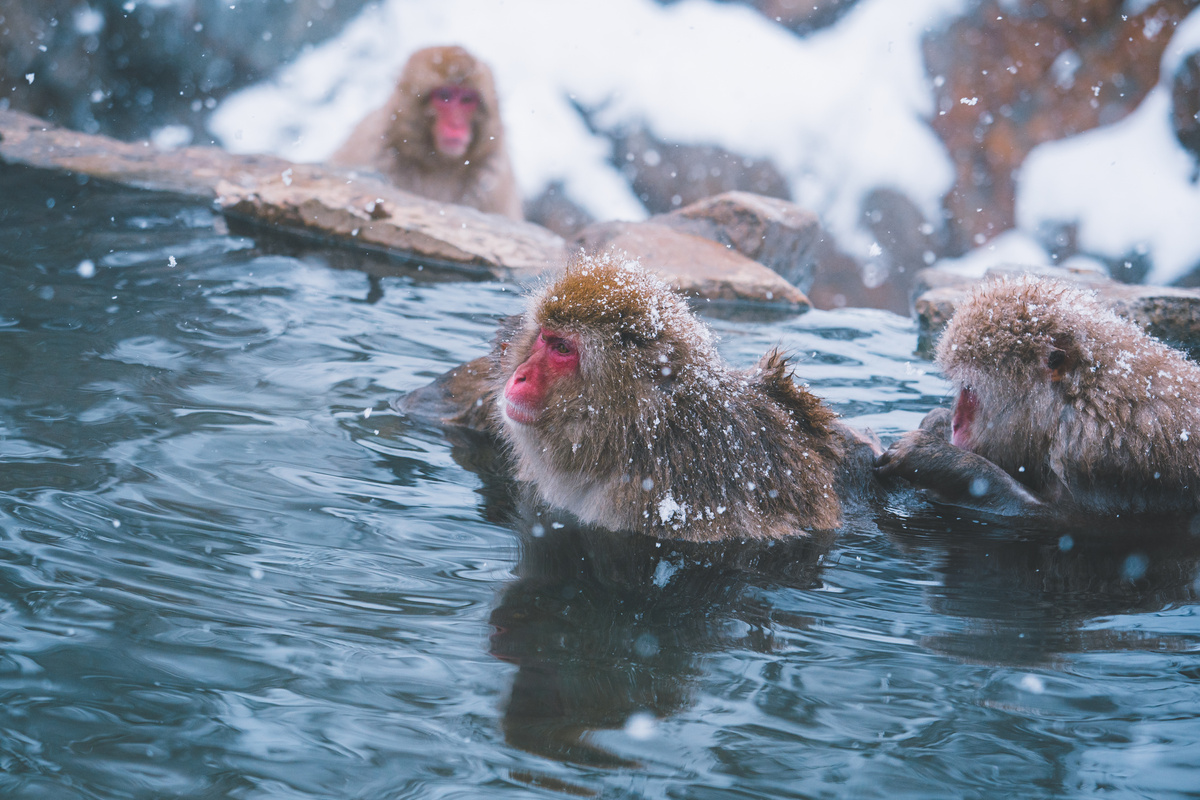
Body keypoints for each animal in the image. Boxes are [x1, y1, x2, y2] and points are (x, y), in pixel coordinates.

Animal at [873, 275, 1200, 520]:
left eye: (970, 389)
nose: (957, 424)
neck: (1085, 401)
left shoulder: (1106, 460)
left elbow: (1058, 520)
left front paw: (935, 458)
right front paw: (936, 422)